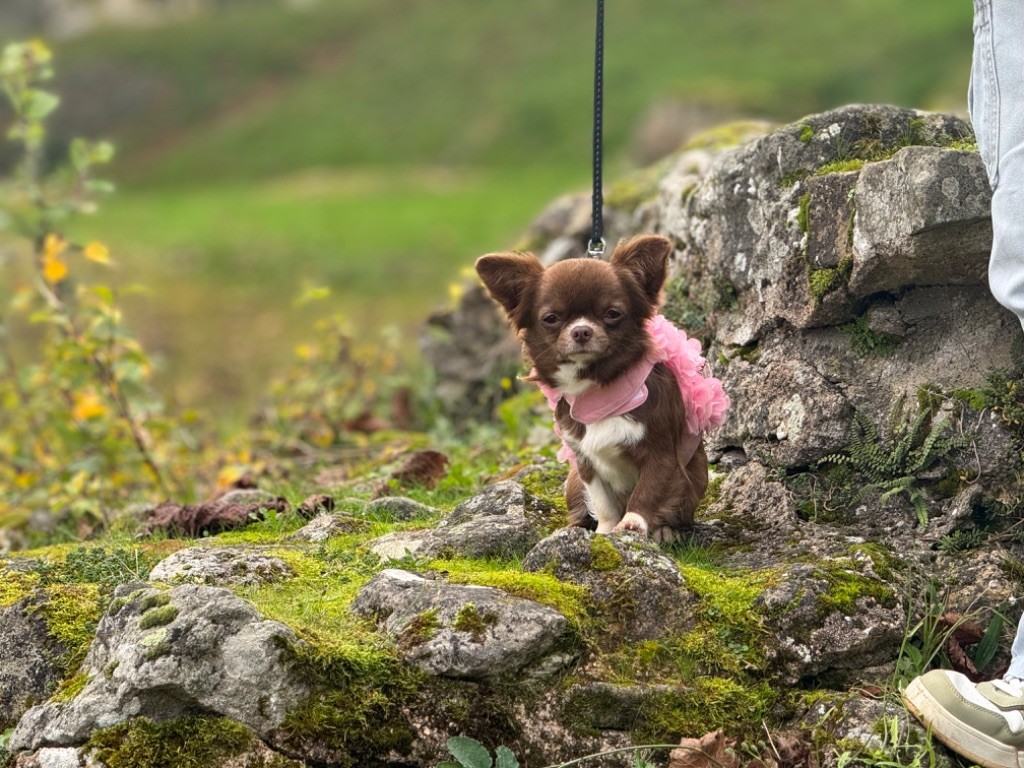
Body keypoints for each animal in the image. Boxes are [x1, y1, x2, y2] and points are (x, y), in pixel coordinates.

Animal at [475, 234, 724, 540]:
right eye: (551, 319)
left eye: (613, 313)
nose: (581, 330)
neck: (599, 390)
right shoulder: (584, 461)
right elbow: (603, 502)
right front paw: (605, 533)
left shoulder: (663, 455)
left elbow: (649, 490)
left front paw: (632, 524)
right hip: (572, 480)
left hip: (695, 475)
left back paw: (666, 529)